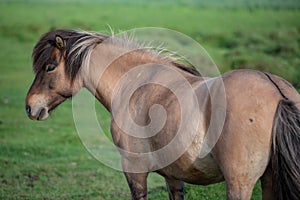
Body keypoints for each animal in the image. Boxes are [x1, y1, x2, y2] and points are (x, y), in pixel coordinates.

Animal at [24, 28, 298, 199]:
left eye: (49, 67)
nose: (29, 106)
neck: (135, 85)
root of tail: (277, 91)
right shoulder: (174, 176)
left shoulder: (135, 172)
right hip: (269, 180)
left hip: (240, 184)